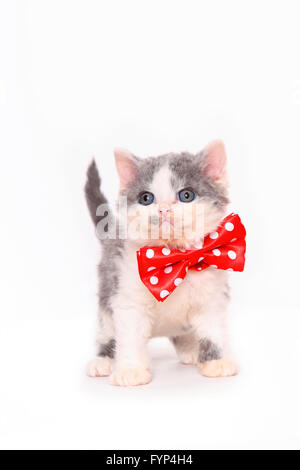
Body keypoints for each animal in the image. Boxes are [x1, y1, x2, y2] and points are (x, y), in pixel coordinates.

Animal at [85, 140, 239, 386]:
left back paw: (190, 348)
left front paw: (216, 361)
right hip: (107, 290)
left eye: (186, 195)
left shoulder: (212, 296)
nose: (164, 208)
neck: (174, 258)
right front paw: (131, 369)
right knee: (106, 329)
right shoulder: (128, 296)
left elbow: (212, 329)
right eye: (146, 198)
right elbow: (129, 334)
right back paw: (104, 359)